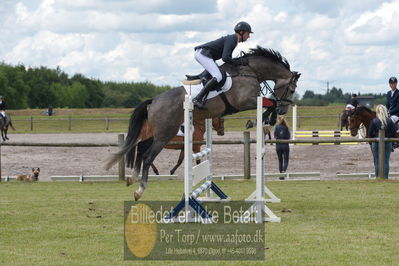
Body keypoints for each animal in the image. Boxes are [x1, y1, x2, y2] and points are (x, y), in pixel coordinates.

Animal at [104, 46, 302, 200]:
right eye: (292, 89)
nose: (284, 111)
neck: (250, 72)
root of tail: (155, 100)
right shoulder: (245, 101)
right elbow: (271, 103)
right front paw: (259, 120)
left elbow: (270, 104)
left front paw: (265, 119)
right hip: (164, 134)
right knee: (147, 156)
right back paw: (139, 190)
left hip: (158, 133)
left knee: (141, 147)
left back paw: (132, 178)